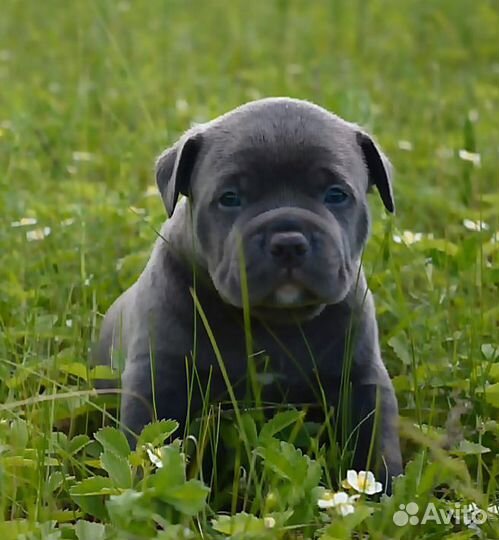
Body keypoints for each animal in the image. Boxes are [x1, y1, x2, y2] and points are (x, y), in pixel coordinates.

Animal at [95, 96, 404, 490]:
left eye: (336, 195)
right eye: (230, 198)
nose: (288, 241)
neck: (271, 320)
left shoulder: (362, 380)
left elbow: (376, 443)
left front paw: (385, 493)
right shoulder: (160, 378)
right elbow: (148, 443)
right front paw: (148, 493)